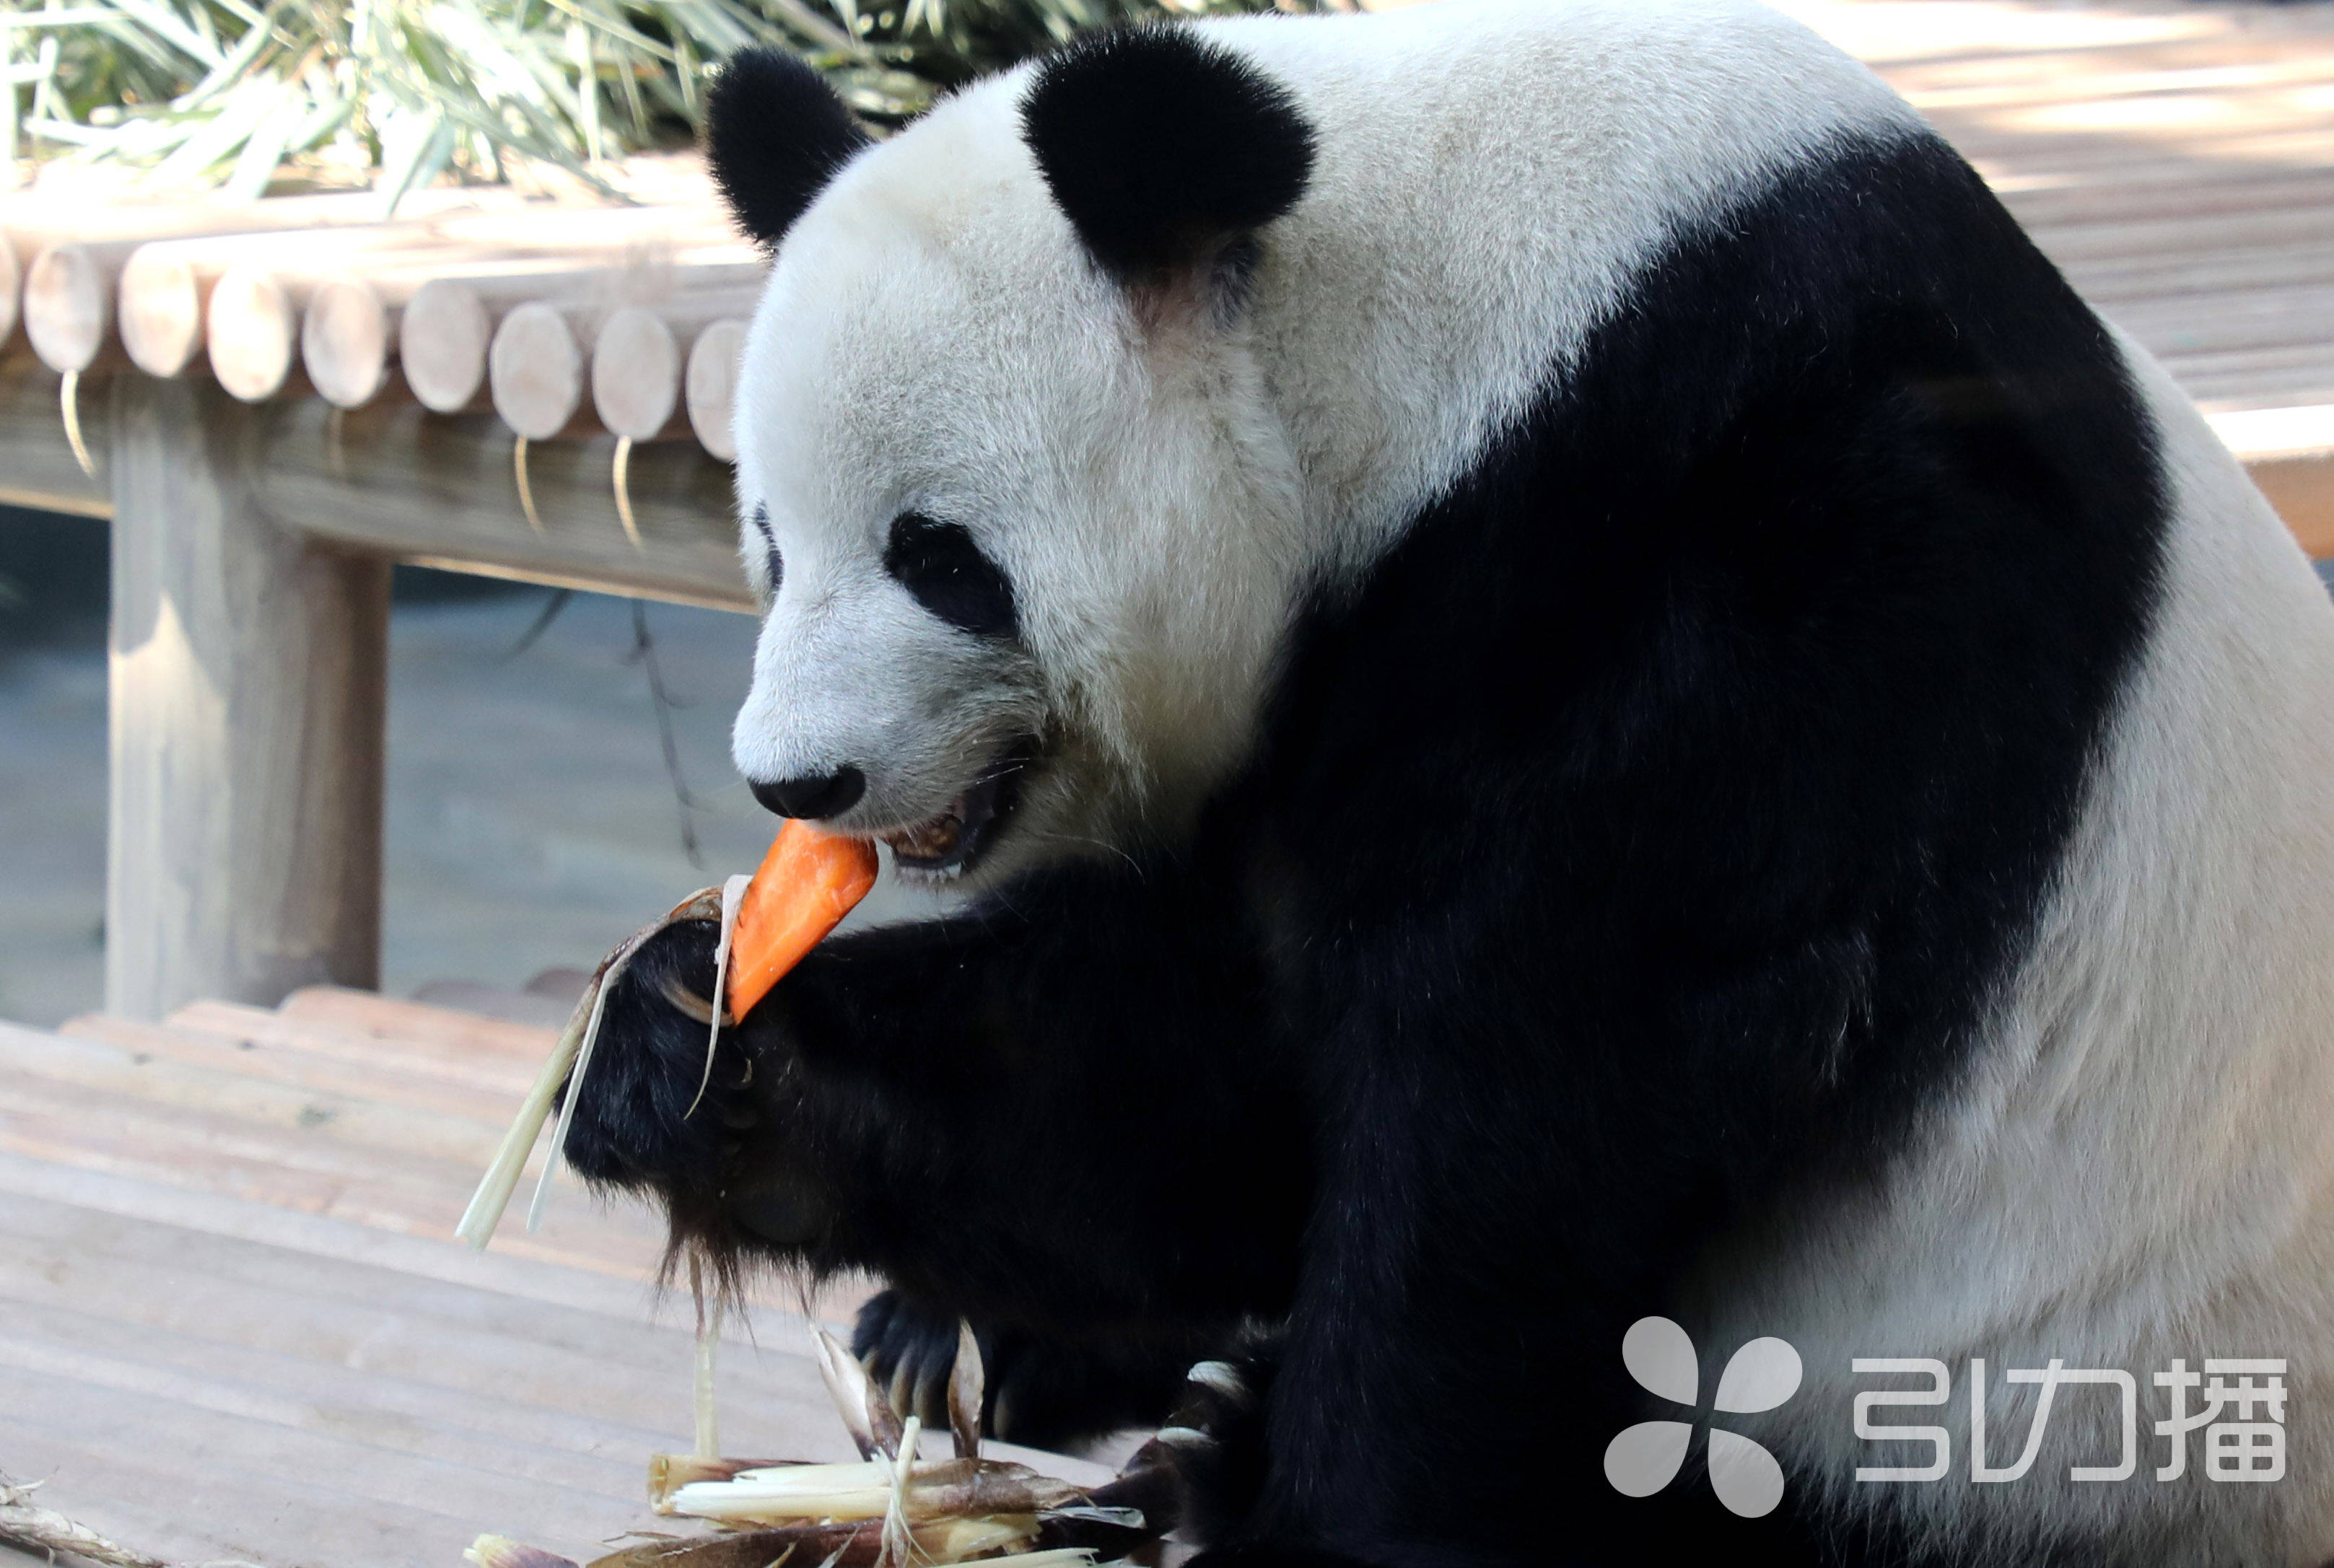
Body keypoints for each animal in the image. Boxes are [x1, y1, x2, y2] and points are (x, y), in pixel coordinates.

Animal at [551, 0, 2334, 1559]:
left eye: (940, 557)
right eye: (771, 543)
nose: (796, 782)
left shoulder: (1779, 581)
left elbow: (1529, 1099)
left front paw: (1329, 1515)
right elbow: (1198, 1088)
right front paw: (692, 1042)